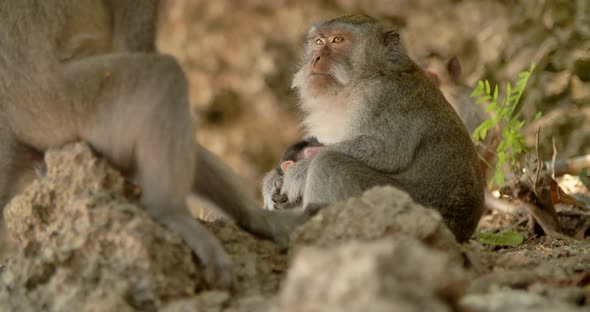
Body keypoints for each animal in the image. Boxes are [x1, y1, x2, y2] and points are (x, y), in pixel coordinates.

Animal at [264, 14, 486, 243]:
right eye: (318, 42)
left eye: (337, 40)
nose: (315, 58)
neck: (358, 82)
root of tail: (464, 231)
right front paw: (272, 181)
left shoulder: (382, 95)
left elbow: (386, 150)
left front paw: (298, 171)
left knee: (330, 163)